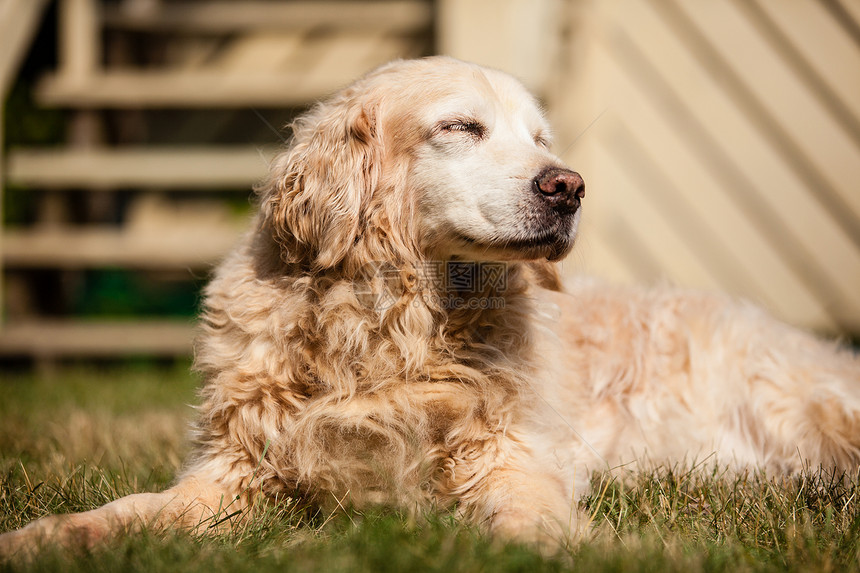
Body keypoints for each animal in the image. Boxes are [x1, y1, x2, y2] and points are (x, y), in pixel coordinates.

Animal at [1, 58, 860, 556]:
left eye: (539, 137)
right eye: (460, 126)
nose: (568, 185)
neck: (391, 329)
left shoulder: (510, 455)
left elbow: (531, 514)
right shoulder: (237, 467)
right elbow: (134, 509)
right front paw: (48, 537)